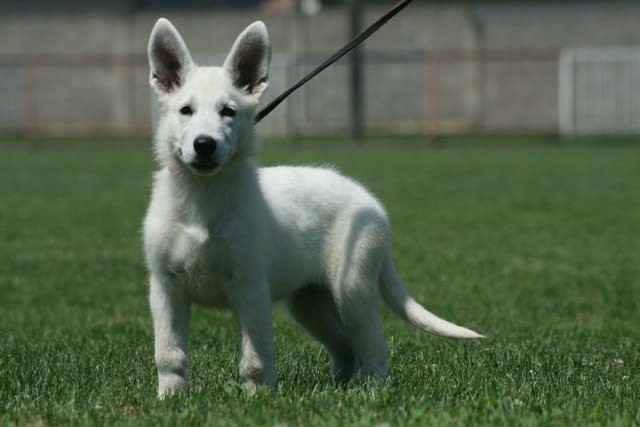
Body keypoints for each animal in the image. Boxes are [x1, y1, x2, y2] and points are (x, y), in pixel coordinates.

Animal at [145, 18, 482, 402]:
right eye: (185, 110)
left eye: (228, 111)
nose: (204, 145)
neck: (203, 198)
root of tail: (371, 203)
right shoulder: (165, 287)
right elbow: (169, 353)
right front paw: (170, 398)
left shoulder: (250, 287)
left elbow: (255, 354)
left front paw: (257, 398)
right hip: (309, 302)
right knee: (346, 345)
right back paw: (338, 384)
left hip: (352, 289)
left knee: (373, 346)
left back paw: (373, 389)